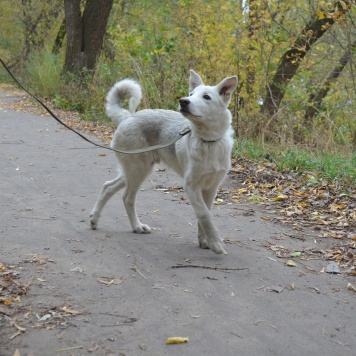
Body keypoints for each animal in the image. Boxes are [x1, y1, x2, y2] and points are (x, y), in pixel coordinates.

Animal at [90, 70, 238, 253]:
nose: (183, 101)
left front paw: (205, 241)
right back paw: (137, 226)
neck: (208, 141)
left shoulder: (211, 187)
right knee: (127, 198)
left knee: (108, 187)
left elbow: (205, 214)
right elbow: (204, 215)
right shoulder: (191, 186)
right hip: (138, 171)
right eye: (191, 94)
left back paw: (95, 219)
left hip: (132, 171)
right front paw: (216, 243)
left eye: (206, 97)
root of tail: (128, 117)